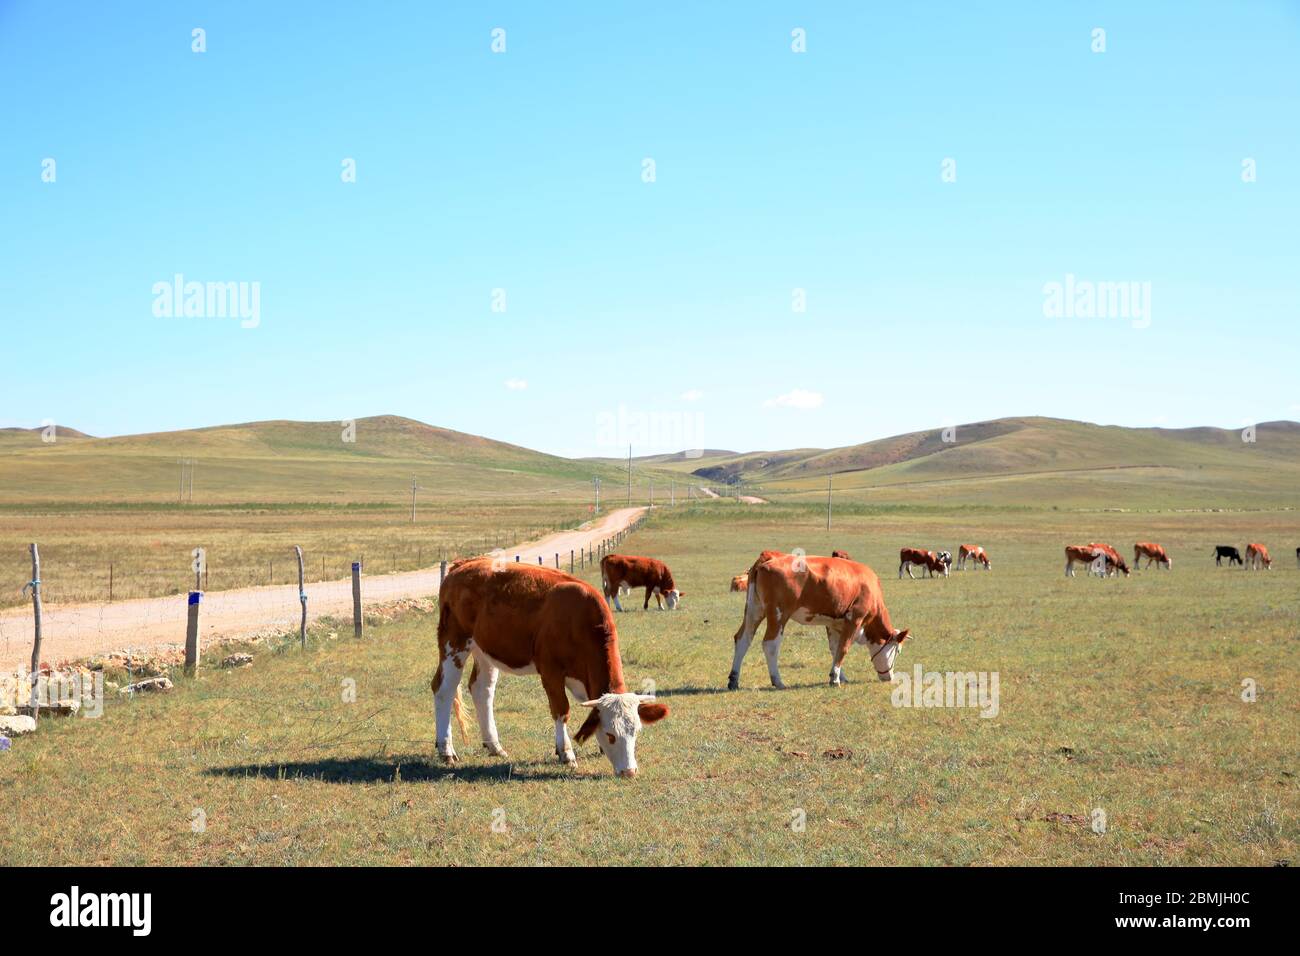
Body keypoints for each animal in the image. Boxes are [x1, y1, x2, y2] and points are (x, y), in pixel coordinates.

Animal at [433, 557, 668, 776]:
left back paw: (494, 746)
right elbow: (561, 710)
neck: (579, 620)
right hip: (454, 641)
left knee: (482, 690)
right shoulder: (550, 671)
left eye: (636, 731)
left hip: (485, 649)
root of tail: (463, 564)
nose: (629, 771)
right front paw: (566, 753)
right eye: (611, 734)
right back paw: (446, 750)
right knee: (443, 689)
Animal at [728, 551, 908, 690]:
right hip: (778, 615)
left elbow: (835, 649)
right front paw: (835, 680)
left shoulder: (834, 624)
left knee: (743, 639)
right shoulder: (855, 618)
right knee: (770, 644)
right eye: (898, 651)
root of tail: (769, 555)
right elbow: (843, 648)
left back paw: (734, 680)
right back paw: (778, 681)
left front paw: (839, 676)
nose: (889, 677)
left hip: (753, 610)